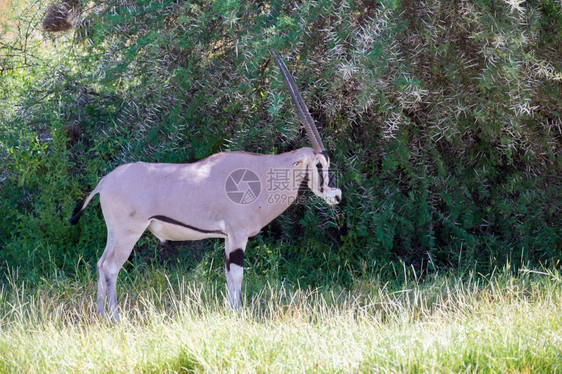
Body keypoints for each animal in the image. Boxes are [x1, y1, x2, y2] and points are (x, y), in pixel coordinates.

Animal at [70, 51, 342, 320]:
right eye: (319, 165)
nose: (337, 196)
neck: (263, 174)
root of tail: (104, 181)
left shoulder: (227, 238)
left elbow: (228, 274)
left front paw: (231, 311)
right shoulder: (238, 235)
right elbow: (237, 275)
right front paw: (238, 313)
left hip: (114, 232)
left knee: (101, 263)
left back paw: (100, 314)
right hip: (128, 232)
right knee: (111, 266)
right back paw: (115, 317)